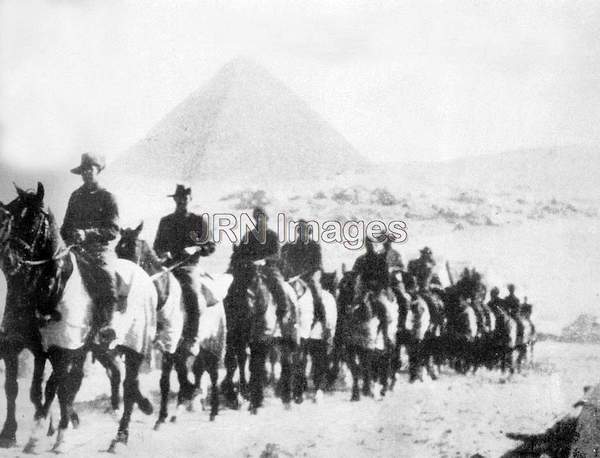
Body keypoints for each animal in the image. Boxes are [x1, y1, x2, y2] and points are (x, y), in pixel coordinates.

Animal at [0, 184, 155, 452]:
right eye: (10, 217)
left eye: (33, 219)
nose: (9, 259)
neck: (53, 286)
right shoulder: (33, 348)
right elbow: (27, 388)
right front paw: (18, 434)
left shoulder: (65, 349)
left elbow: (60, 389)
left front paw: (58, 435)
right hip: (100, 348)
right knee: (111, 376)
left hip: (134, 347)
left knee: (127, 385)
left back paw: (120, 437)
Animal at [116, 224, 229, 424]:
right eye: (117, 250)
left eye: (132, 249)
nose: (121, 287)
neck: (160, 296)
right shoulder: (145, 343)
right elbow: (133, 381)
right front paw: (147, 407)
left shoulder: (169, 341)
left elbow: (164, 381)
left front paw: (160, 416)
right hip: (185, 348)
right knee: (188, 369)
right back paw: (183, 404)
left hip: (213, 343)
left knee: (213, 374)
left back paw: (212, 411)